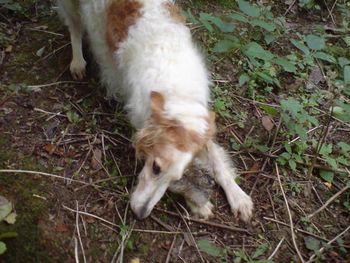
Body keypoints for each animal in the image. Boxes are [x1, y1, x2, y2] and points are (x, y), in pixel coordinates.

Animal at [58, 0, 253, 222]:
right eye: (155, 168)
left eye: (175, 178)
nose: (141, 214)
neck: (177, 94)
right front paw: (198, 204)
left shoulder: (200, 128)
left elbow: (218, 163)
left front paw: (238, 196)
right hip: (71, 7)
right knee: (74, 27)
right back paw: (77, 61)